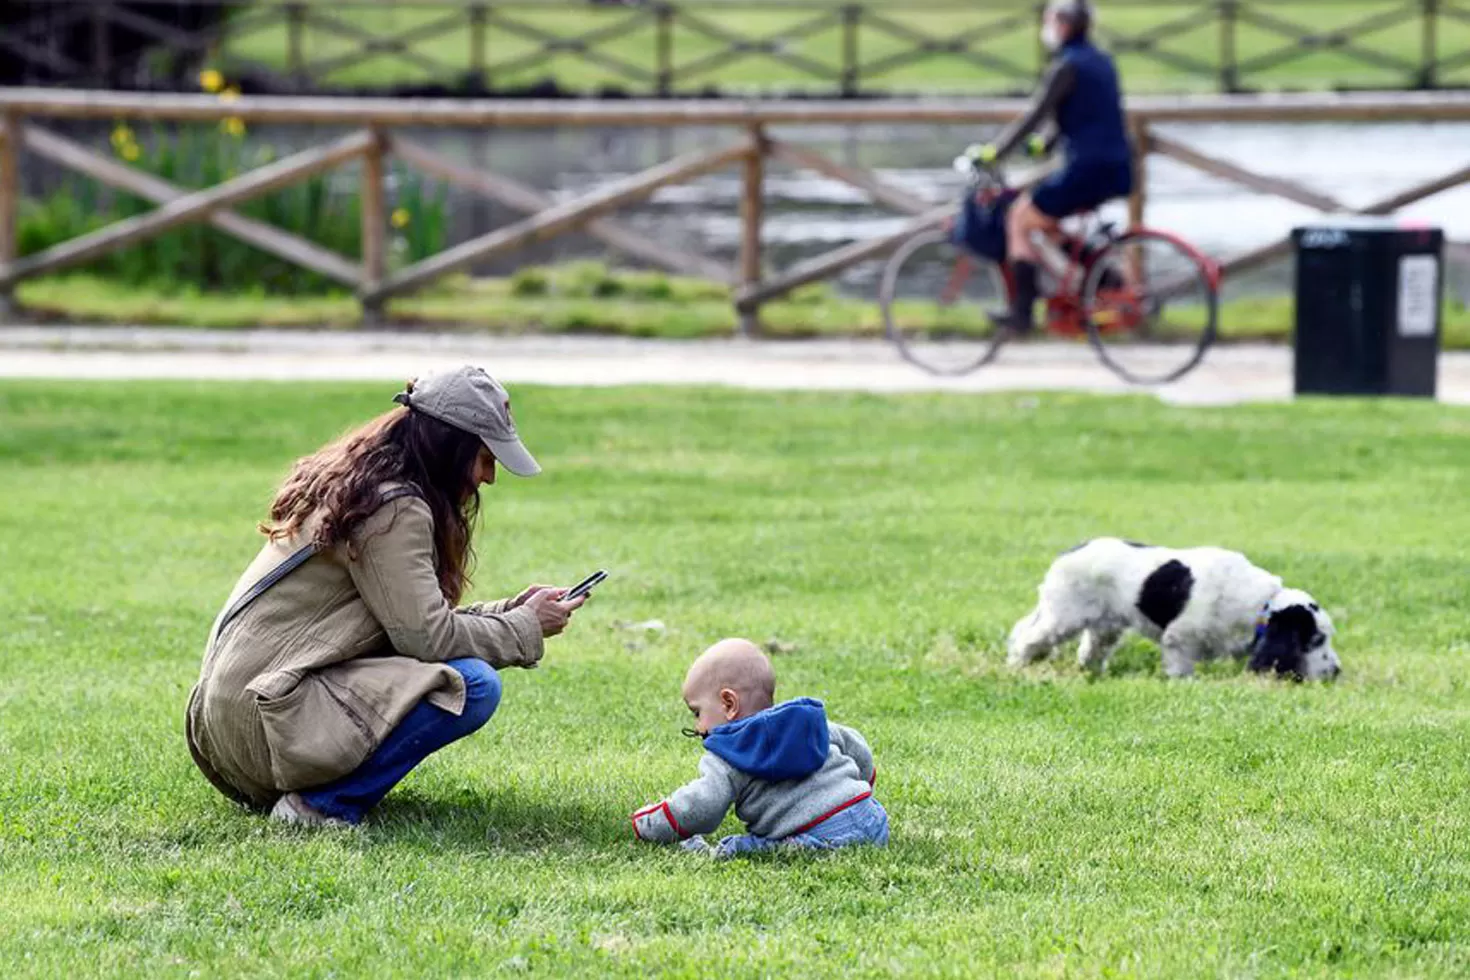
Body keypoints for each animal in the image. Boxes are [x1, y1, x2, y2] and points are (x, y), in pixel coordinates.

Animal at [1005, 537, 1340, 681]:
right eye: (1316, 640)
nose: (1337, 671)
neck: (1262, 604)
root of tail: (1064, 556)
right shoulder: (1180, 642)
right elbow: (1181, 672)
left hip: (1105, 626)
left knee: (1089, 652)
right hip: (1062, 617)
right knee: (1028, 638)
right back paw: (1016, 666)